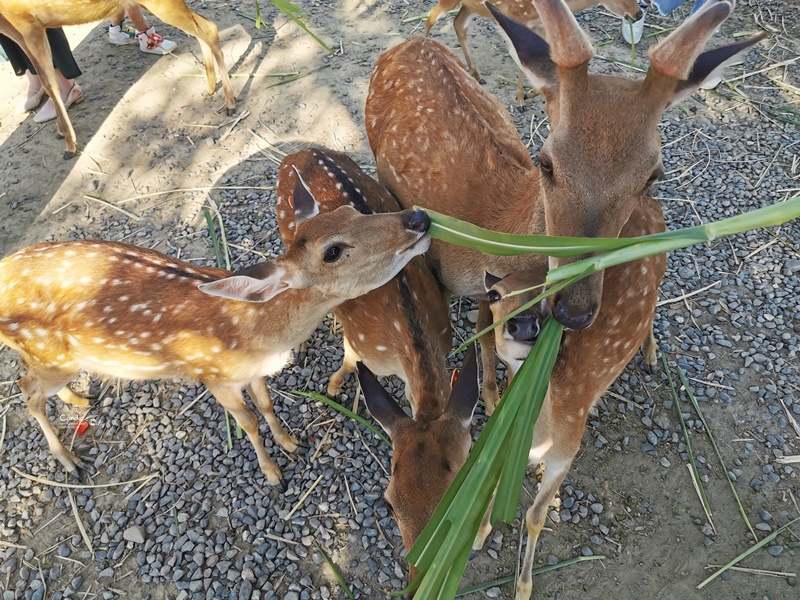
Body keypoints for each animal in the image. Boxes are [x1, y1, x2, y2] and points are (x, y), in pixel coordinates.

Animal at [0, 0, 236, 159]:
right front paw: (62, 133)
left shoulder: (27, 22)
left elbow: (49, 83)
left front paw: (70, 145)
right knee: (203, 27)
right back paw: (210, 86)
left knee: (209, 29)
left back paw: (230, 103)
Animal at [0, 195, 432, 486]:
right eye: (333, 251)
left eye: (349, 211)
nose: (418, 217)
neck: (258, 333)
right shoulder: (214, 377)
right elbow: (247, 422)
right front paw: (273, 474)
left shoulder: (254, 372)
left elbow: (266, 405)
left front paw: (290, 443)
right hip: (49, 352)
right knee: (26, 388)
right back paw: (69, 460)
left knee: (30, 379)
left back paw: (79, 399)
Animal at [274, 147, 450, 406]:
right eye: (332, 252)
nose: (419, 218)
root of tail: (297, 152)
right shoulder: (359, 342)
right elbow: (349, 361)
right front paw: (333, 389)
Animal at [424, 0, 644, 103]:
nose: (638, 13)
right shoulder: (517, 17)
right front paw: (521, 96)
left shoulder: (539, 25)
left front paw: (533, 92)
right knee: (432, 15)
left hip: (472, 6)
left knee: (458, 23)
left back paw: (477, 74)